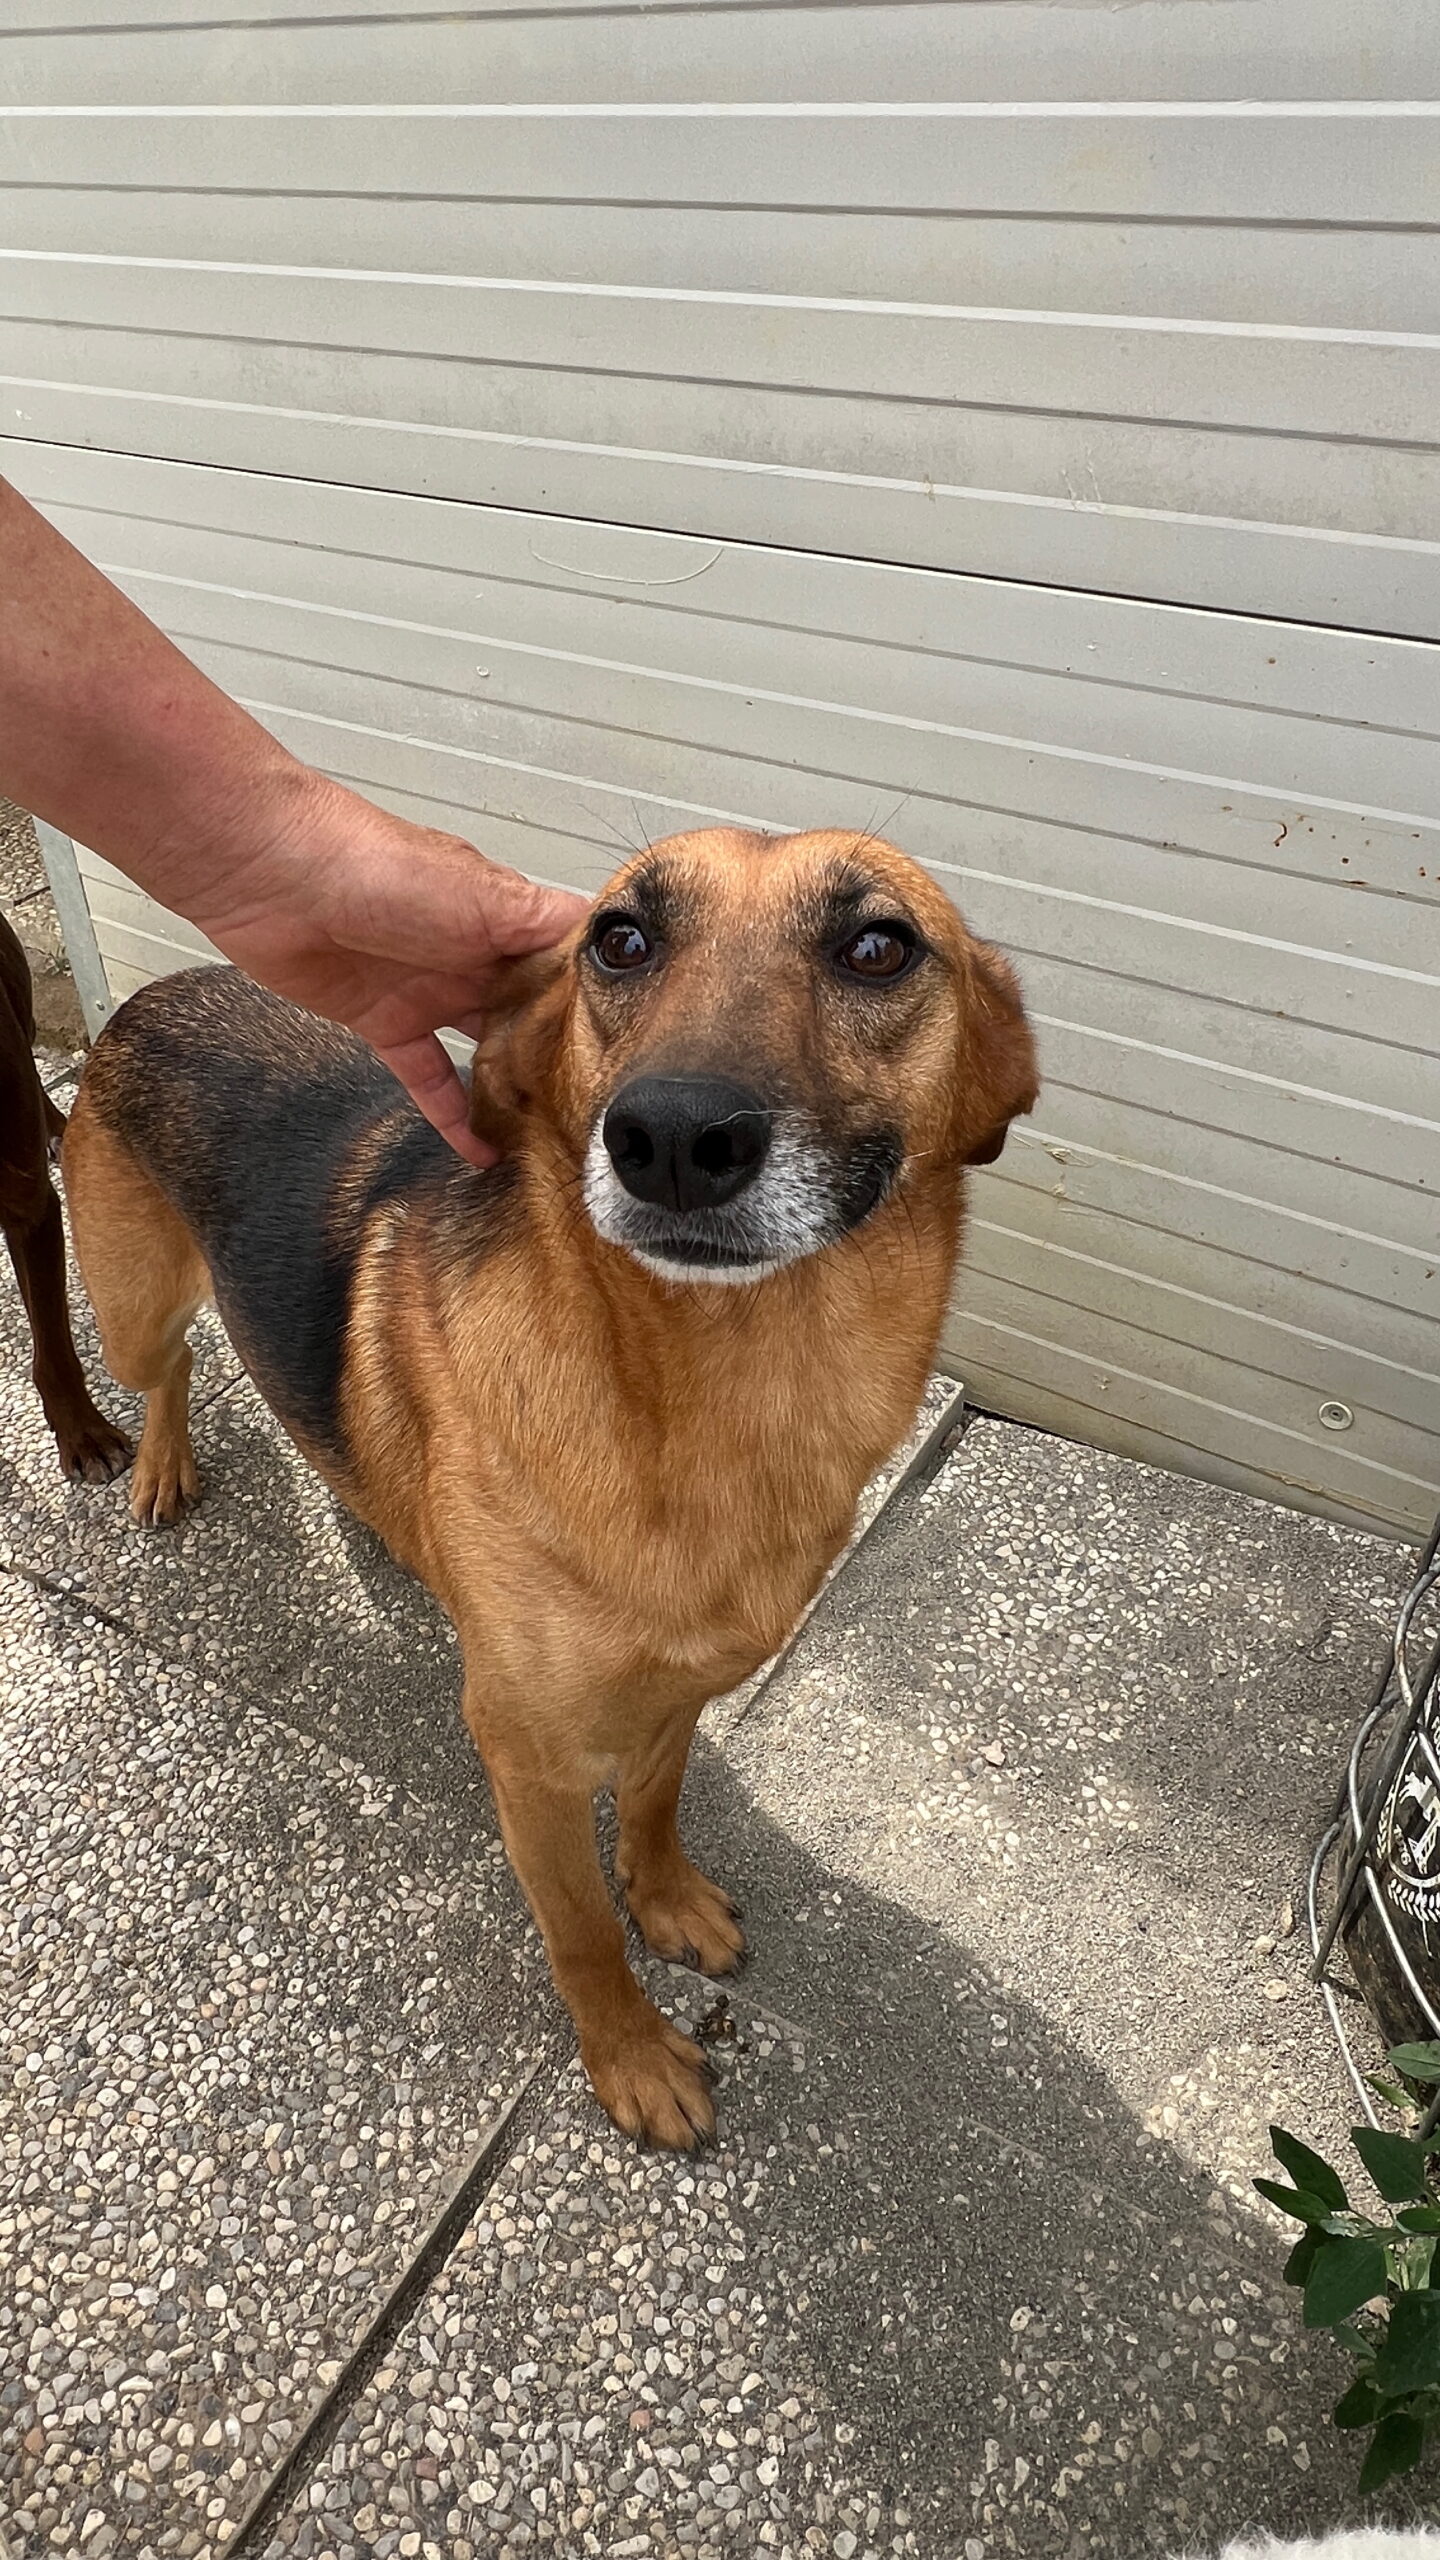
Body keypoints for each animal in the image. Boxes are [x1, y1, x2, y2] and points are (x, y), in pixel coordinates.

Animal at [63, 826, 1037, 2145]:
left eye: (879, 947)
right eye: (617, 939)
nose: (671, 1137)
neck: (727, 1392)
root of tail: (155, 991)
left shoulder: (679, 1692)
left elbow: (659, 1804)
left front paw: (664, 1898)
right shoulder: (528, 1760)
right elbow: (580, 1932)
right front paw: (628, 2054)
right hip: (131, 1313)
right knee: (163, 1368)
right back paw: (165, 1458)